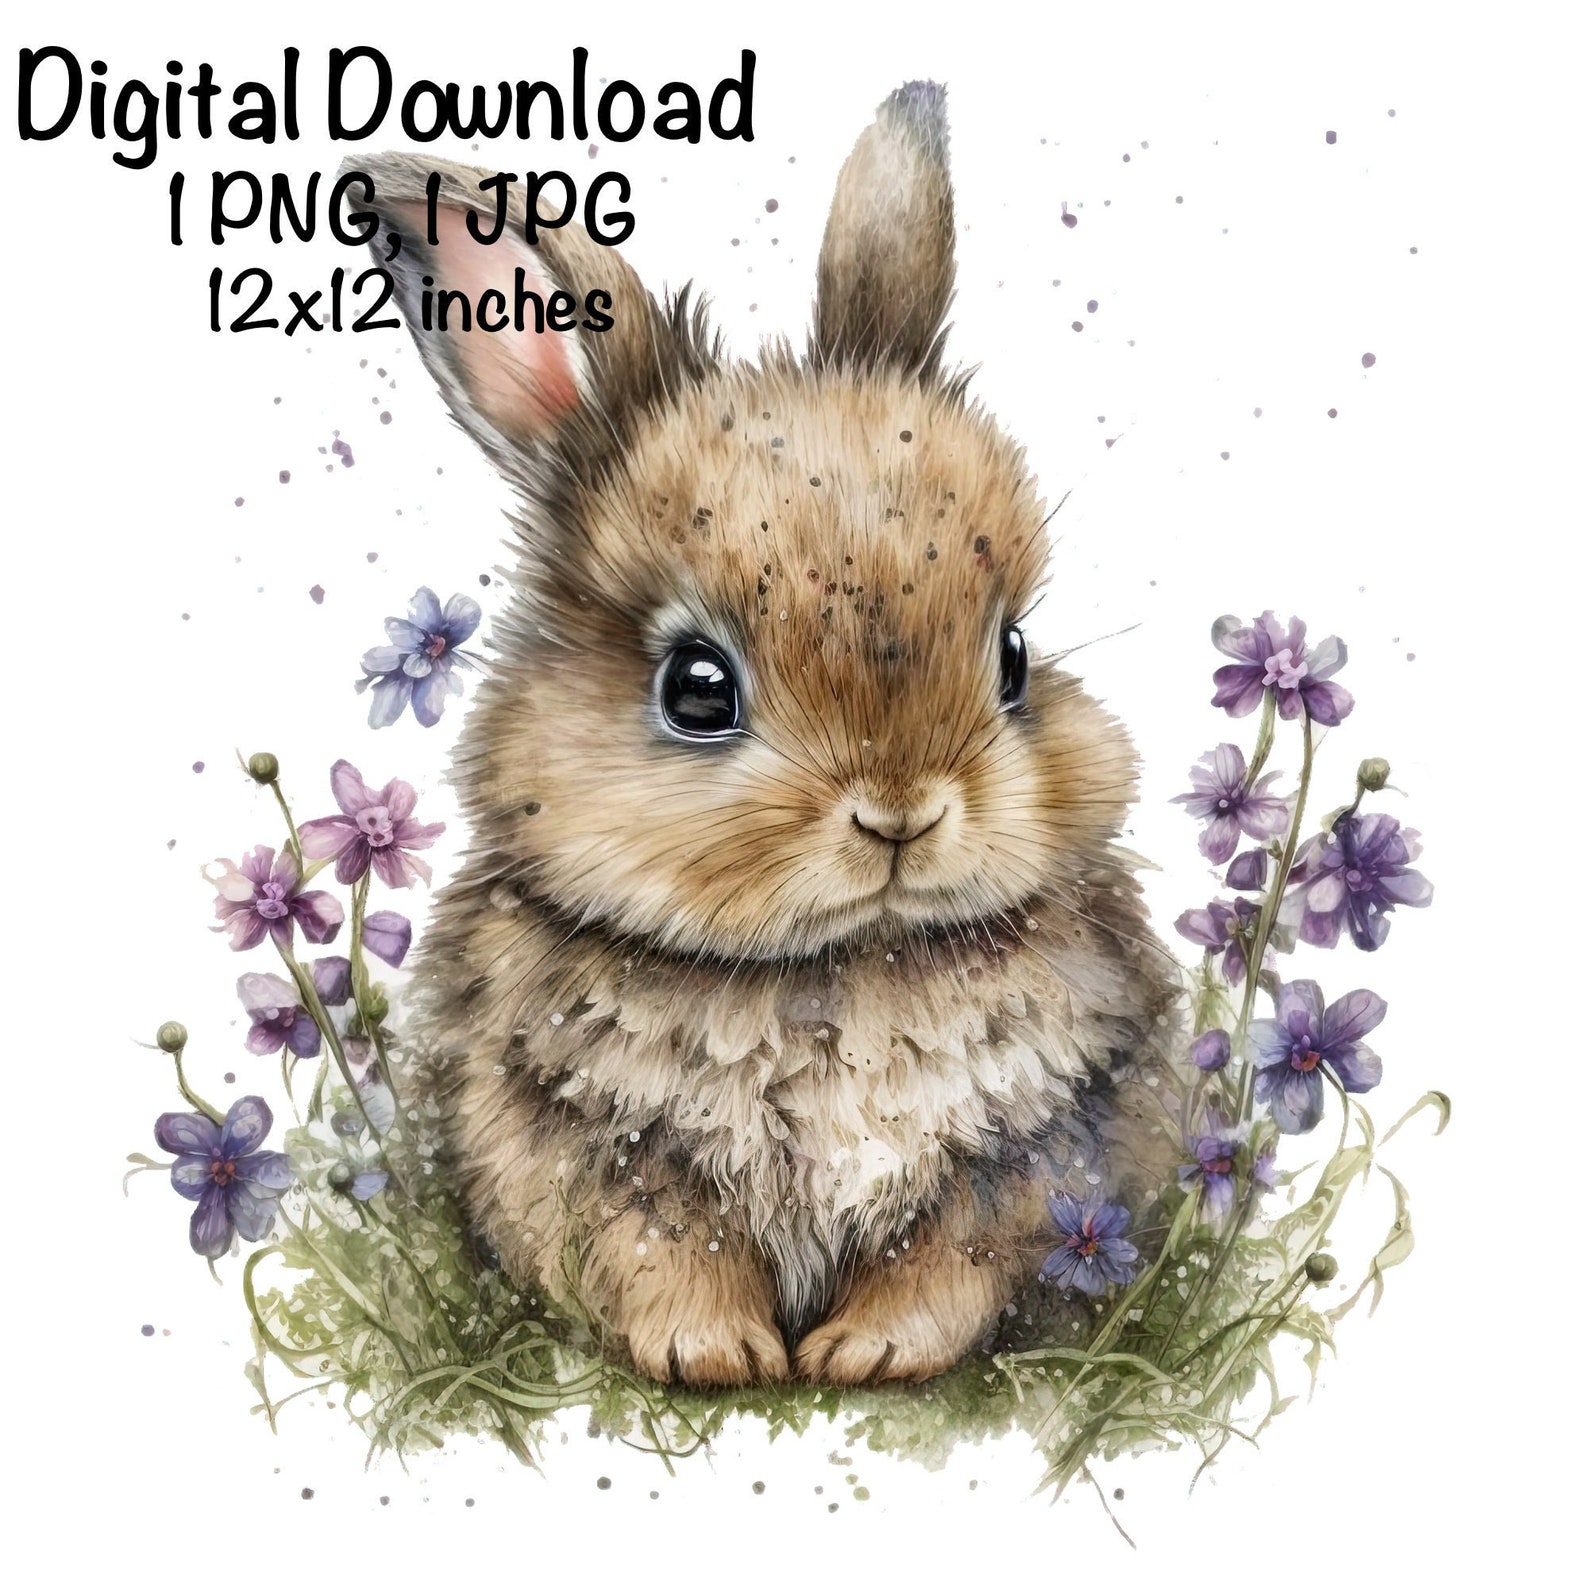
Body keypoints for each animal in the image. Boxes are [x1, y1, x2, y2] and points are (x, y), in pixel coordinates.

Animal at [353, 80, 1183, 1388]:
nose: (902, 812)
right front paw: (720, 1353)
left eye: (1011, 658)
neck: (837, 969)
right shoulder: (589, 1159)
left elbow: (954, 1263)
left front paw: (863, 1354)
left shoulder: (1036, 1158)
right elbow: (656, 1256)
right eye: (697, 688)